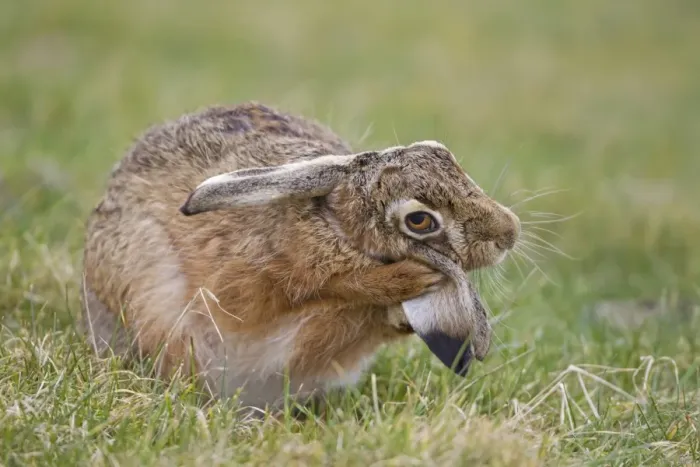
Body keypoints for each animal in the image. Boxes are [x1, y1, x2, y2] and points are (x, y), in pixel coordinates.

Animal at [80, 101, 520, 410]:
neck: (340, 227)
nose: (509, 232)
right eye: (420, 220)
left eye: (441, 151)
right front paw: (407, 280)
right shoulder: (251, 281)